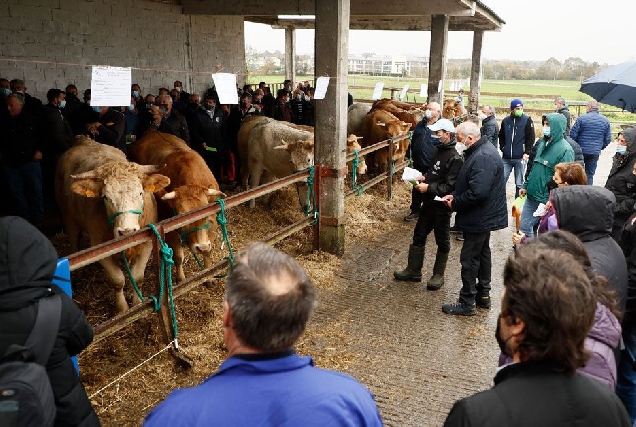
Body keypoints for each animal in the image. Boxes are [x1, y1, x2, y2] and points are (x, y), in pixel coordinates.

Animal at [55, 137, 169, 314]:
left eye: (140, 193)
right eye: (105, 197)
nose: (127, 231)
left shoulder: (147, 243)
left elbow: (138, 276)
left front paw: (138, 302)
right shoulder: (99, 247)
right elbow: (117, 280)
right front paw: (122, 308)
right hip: (68, 217)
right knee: (74, 238)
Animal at [128, 130, 225, 284]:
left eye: (205, 213)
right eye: (181, 216)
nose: (201, 246)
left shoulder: (213, 222)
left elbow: (209, 252)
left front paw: (209, 276)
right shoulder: (169, 229)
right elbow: (178, 256)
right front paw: (181, 279)